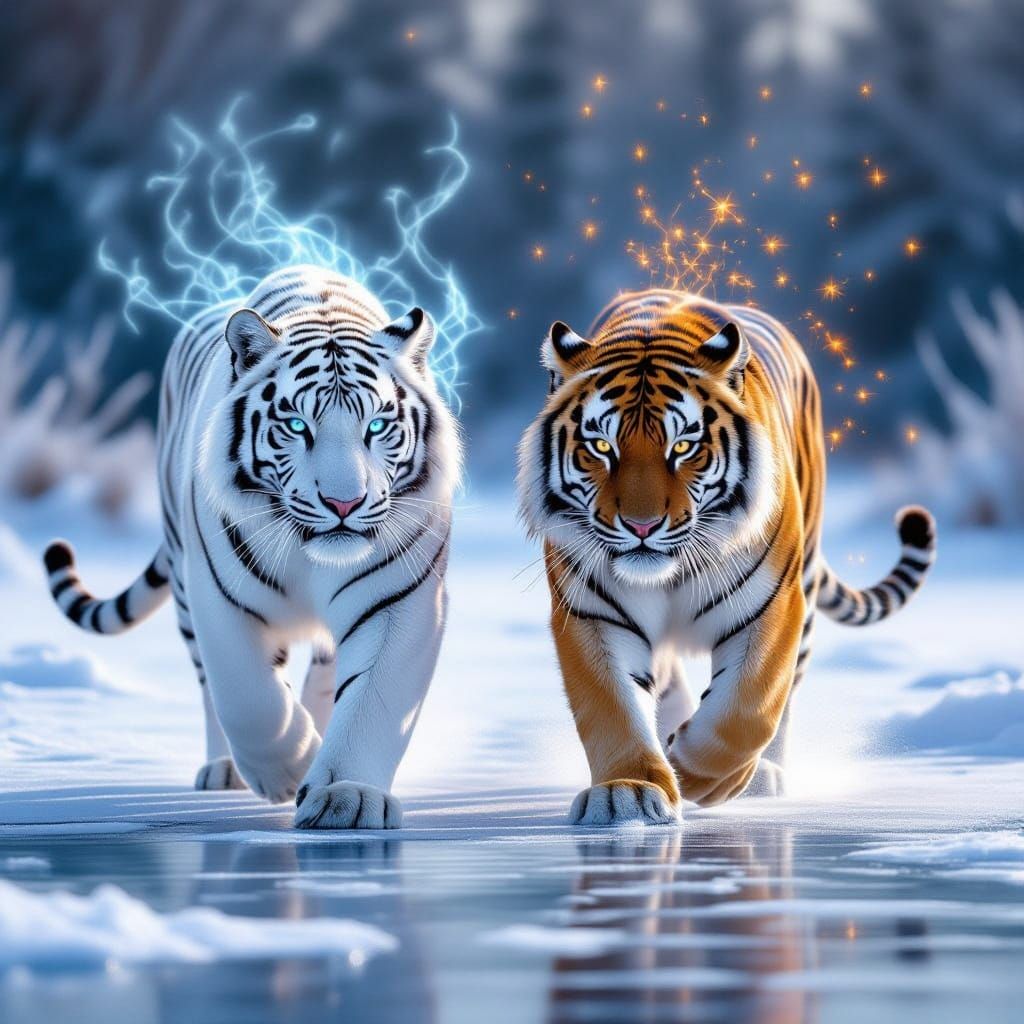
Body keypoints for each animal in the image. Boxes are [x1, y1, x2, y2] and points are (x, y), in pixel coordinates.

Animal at [43, 265, 460, 829]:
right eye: (297, 425)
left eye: (377, 425)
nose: (344, 502)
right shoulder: (218, 595)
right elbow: (247, 695)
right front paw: (288, 766)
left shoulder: (399, 599)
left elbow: (372, 699)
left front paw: (345, 796)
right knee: (211, 686)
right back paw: (226, 770)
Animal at [517, 288, 936, 825]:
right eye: (601, 447)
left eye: (683, 446)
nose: (641, 526)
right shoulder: (592, 613)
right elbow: (612, 707)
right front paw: (627, 794)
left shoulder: (771, 605)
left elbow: (746, 708)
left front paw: (700, 775)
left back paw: (761, 778)